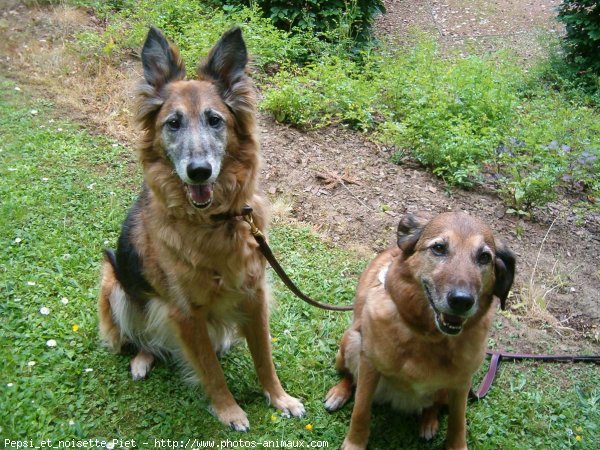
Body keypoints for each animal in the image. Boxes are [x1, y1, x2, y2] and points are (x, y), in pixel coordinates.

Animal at [99, 26, 304, 430]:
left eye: (215, 120)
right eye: (173, 123)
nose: (199, 171)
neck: (214, 223)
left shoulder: (254, 295)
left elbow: (265, 358)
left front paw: (279, 398)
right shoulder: (185, 313)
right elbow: (210, 370)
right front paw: (229, 411)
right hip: (112, 280)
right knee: (143, 338)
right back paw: (142, 358)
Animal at [326, 212, 512, 450]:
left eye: (484, 257)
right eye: (439, 248)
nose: (462, 300)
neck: (428, 336)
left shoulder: (461, 383)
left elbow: (457, 422)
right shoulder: (369, 364)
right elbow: (360, 410)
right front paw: (355, 443)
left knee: (434, 406)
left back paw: (429, 423)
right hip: (350, 342)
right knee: (351, 377)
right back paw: (338, 393)